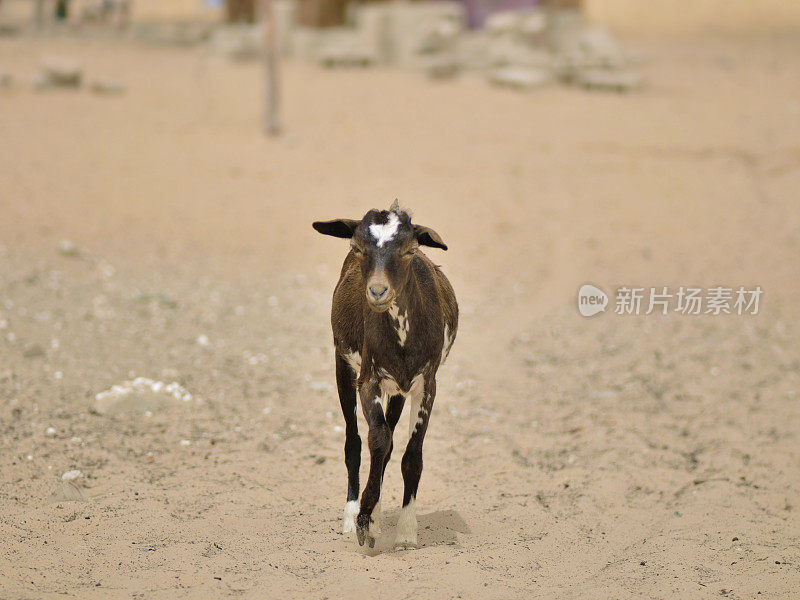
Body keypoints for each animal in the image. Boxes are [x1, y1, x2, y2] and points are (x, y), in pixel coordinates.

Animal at [316, 200, 460, 548]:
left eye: (410, 250)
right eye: (356, 247)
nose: (378, 291)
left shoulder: (426, 383)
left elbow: (411, 455)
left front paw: (406, 533)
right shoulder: (369, 379)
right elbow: (377, 439)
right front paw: (364, 520)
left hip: (398, 390)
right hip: (342, 364)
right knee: (355, 442)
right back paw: (352, 515)